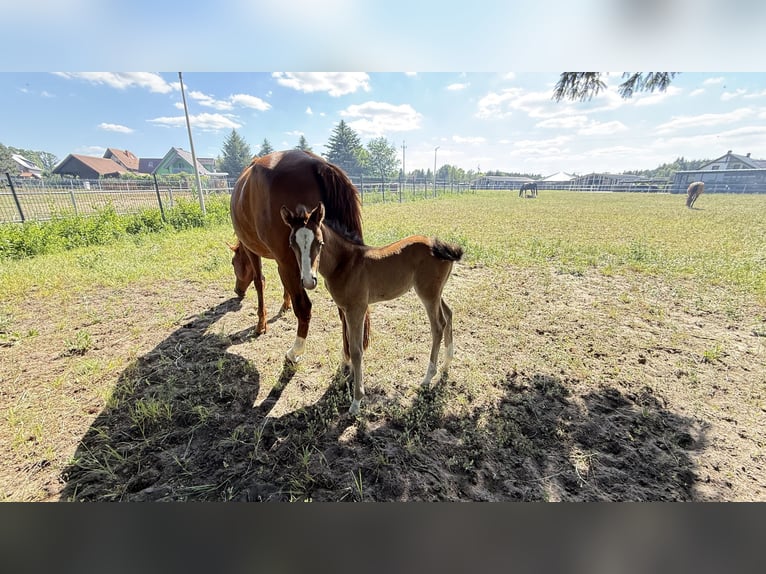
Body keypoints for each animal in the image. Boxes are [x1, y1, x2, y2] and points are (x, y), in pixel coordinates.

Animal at [229, 150, 370, 363]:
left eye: (233, 263)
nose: (237, 290)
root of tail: (316, 163)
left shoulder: (254, 251)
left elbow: (259, 282)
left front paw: (261, 324)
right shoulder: (287, 262)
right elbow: (285, 286)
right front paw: (285, 304)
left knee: (304, 308)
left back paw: (295, 351)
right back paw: (347, 357)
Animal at [280, 202, 463, 415]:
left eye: (319, 242)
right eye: (292, 244)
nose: (309, 281)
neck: (345, 263)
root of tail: (439, 245)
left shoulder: (357, 308)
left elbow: (357, 350)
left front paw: (356, 401)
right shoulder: (346, 309)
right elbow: (348, 341)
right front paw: (348, 376)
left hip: (428, 294)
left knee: (438, 325)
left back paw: (428, 377)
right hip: (436, 293)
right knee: (448, 315)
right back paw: (446, 365)